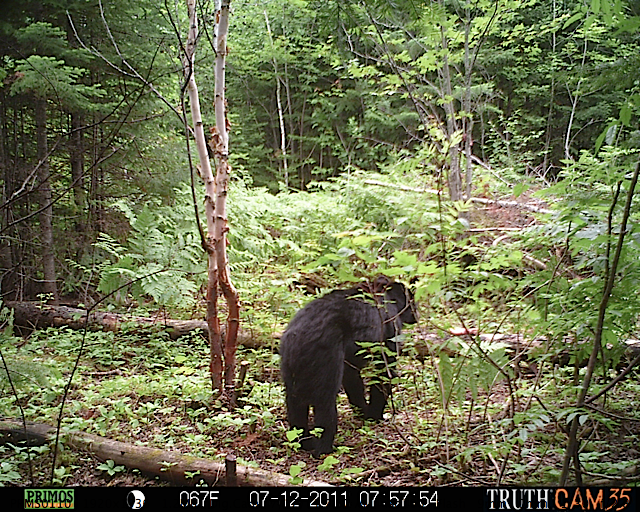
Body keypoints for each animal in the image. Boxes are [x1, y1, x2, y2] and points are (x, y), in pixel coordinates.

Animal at [280, 276, 416, 456]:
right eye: (412, 299)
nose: (417, 314)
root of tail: (298, 337)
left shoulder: (350, 361)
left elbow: (354, 384)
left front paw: (363, 411)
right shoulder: (389, 334)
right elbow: (382, 376)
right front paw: (374, 415)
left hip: (291, 371)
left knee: (295, 404)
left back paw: (304, 442)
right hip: (326, 365)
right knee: (325, 406)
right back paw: (324, 449)